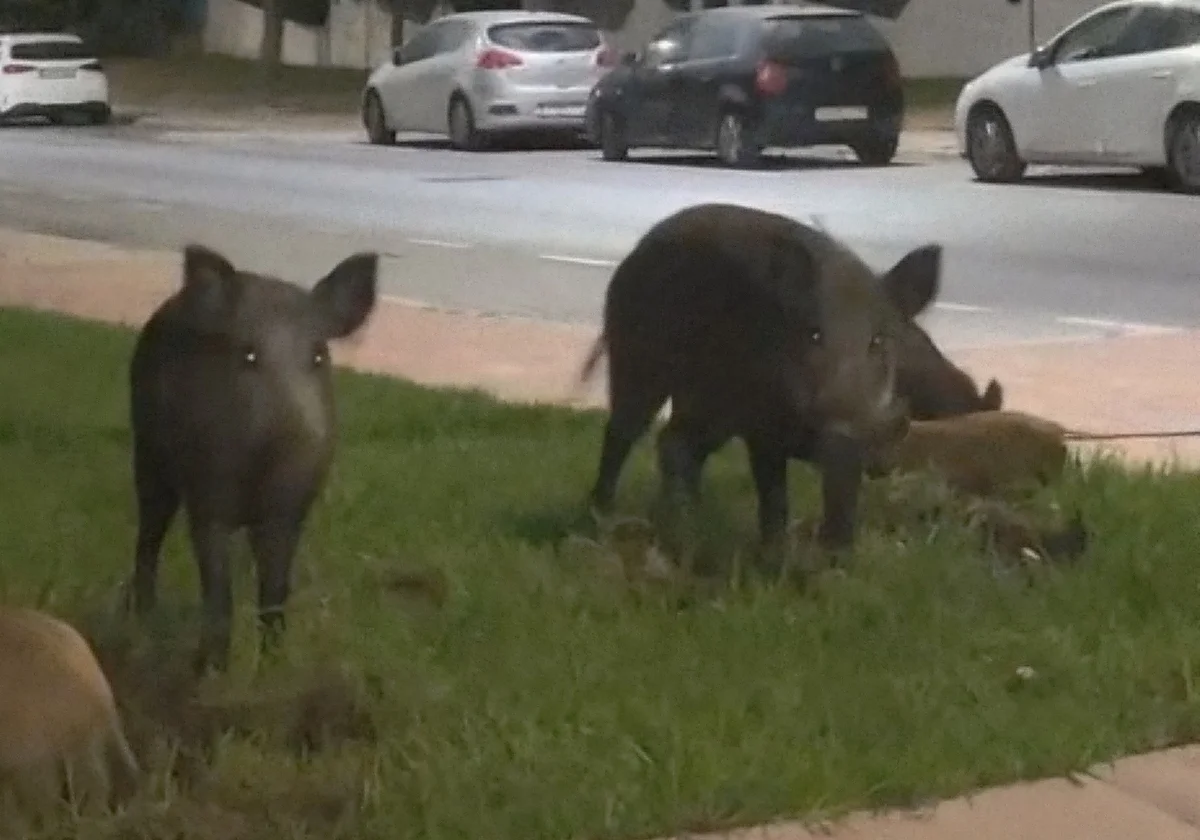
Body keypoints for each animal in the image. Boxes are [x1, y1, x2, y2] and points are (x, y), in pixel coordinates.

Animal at [127, 245, 379, 674]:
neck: (259, 477)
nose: (301, 431)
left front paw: (273, 665)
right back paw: (142, 616)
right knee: (149, 533)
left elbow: (275, 591)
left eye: (318, 357)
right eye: (248, 355)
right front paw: (211, 671)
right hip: (147, 451)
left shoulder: (290, 514)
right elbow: (218, 591)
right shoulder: (207, 501)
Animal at [579, 202, 942, 560]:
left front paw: (837, 560)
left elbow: (843, 495)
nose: (840, 425)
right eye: (814, 334)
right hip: (637, 362)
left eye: (878, 341)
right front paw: (775, 558)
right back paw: (603, 518)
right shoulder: (762, 430)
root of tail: (637, 251)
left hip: (709, 405)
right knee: (623, 434)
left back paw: (687, 522)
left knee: (676, 442)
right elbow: (774, 497)